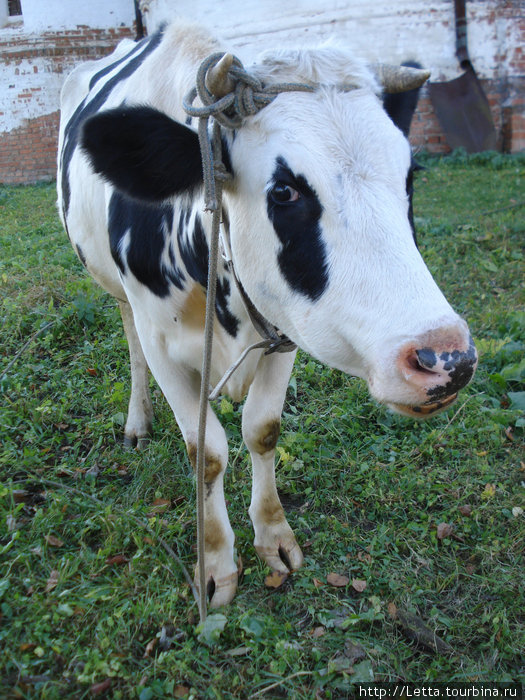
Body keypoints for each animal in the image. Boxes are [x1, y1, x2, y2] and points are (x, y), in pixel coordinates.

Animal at [56, 21, 474, 608]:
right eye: (284, 191)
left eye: (410, 175)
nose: (447, 359)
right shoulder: (162, 342)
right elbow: (205, 451)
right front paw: (214, 561)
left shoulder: (284, 332)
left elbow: (263, 429)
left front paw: (273, 536)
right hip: (111, 287)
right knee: (128, 337)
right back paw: (137, 421)